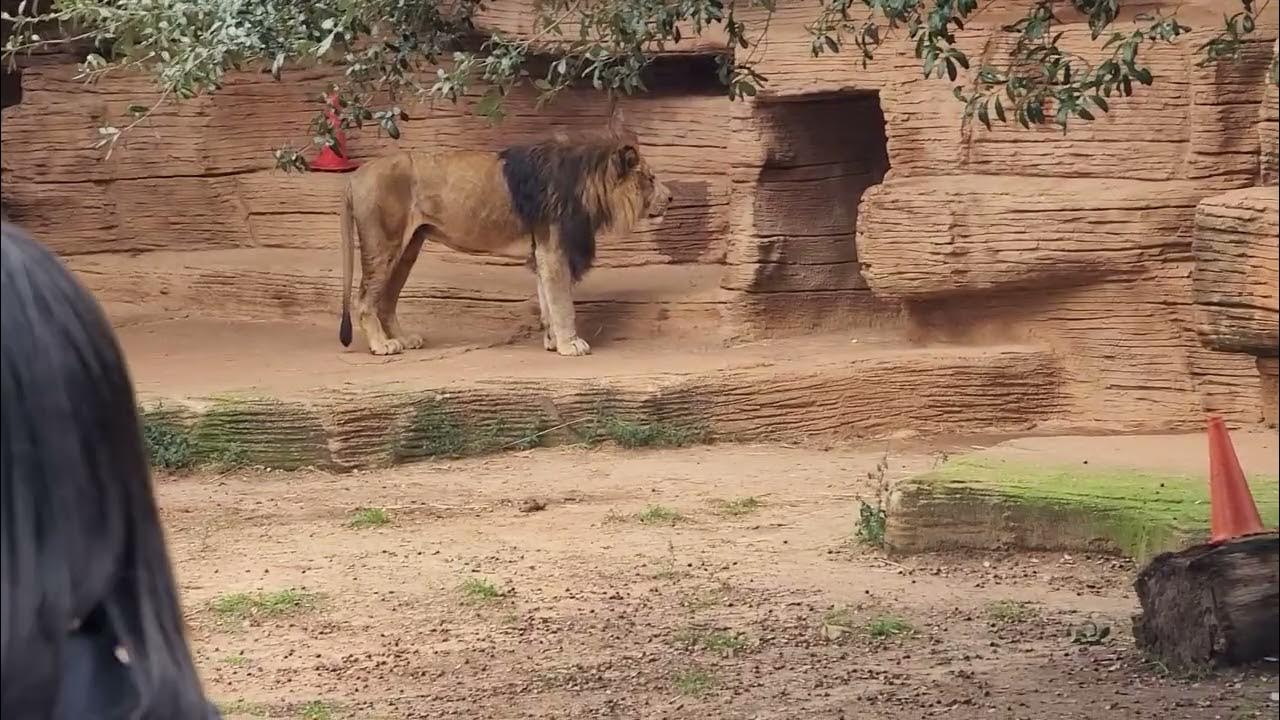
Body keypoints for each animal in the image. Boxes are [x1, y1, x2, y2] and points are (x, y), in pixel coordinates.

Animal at [337, 120, 672, 357]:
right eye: (651, 178)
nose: (670, 197)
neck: (587, 182)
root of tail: (355, 176)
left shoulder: (542, 251)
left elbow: (547, 299)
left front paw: (552, 341)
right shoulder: (554, 249)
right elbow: (563, 302)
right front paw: (570, 344)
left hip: (407, 249)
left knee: (386, 300)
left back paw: (403, 339)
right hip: (384, 244)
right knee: (364, 299)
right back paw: (382, 345)